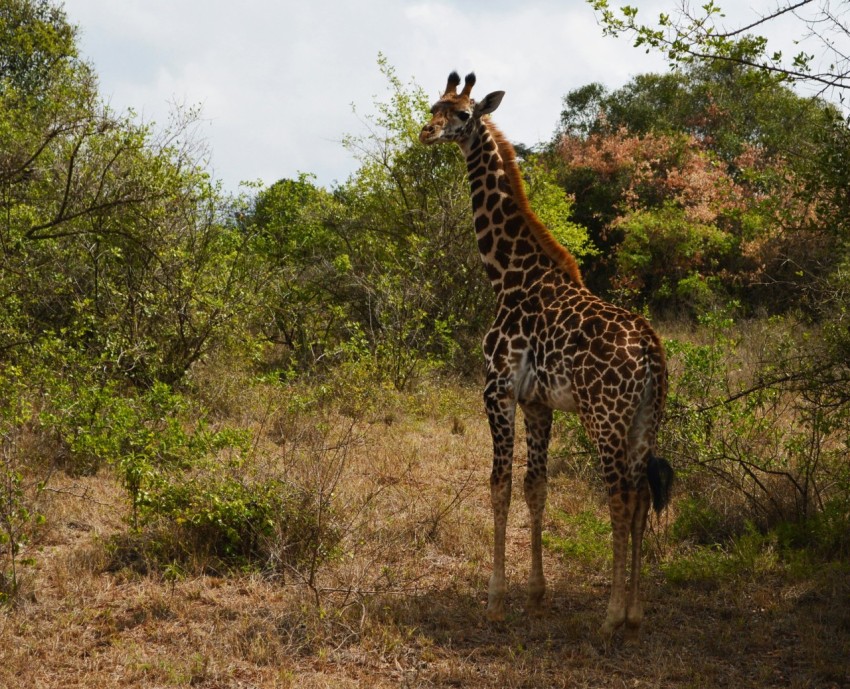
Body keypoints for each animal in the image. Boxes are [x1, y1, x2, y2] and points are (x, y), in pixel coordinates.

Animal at [418, 72, 668, 636]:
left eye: (462, 114)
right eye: (433, 106)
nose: (425, 132)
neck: (508, 277)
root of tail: (651, 351)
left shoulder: (497, 389)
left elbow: (499, 485)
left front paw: (495, 600)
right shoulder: (538, 402)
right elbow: (537, 487)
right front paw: (535, 595)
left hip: (605, 416)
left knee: (620, 495)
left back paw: (611, 616)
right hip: (646, 417)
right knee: (642, 494)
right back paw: (637, 611)